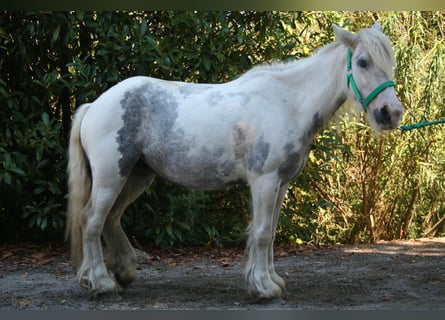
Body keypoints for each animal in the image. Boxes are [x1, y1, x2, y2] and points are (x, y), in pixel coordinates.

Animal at [66, 23, 402, 300]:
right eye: (362, 62)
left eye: (391, 63)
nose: (391, 113)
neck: (289, 103)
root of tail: (95, 104)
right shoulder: (265, 180)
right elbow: (262, 233)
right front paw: (264, 288)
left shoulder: (280, 184)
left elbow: (269, 232)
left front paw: (271, 281)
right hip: (111, 177)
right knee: (92, 220)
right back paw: (99, 283)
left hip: (137, 175)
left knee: (111, 219)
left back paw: (122, 272)